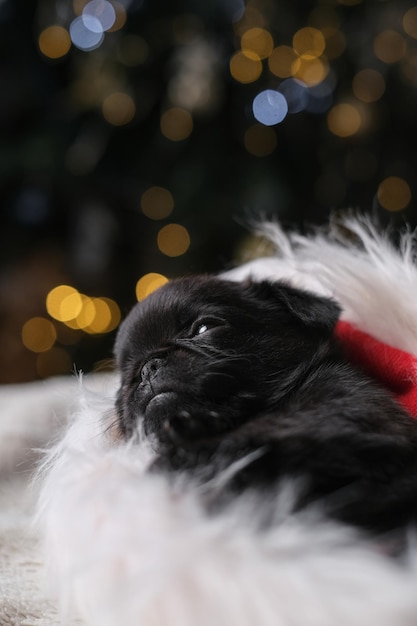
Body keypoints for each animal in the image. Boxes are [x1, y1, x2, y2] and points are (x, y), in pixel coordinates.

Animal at [114, 276, 417, 532]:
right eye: (124, 373)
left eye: (204, 328)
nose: (148, 366)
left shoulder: (347, 405)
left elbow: (270, 428)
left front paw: (187, 447)